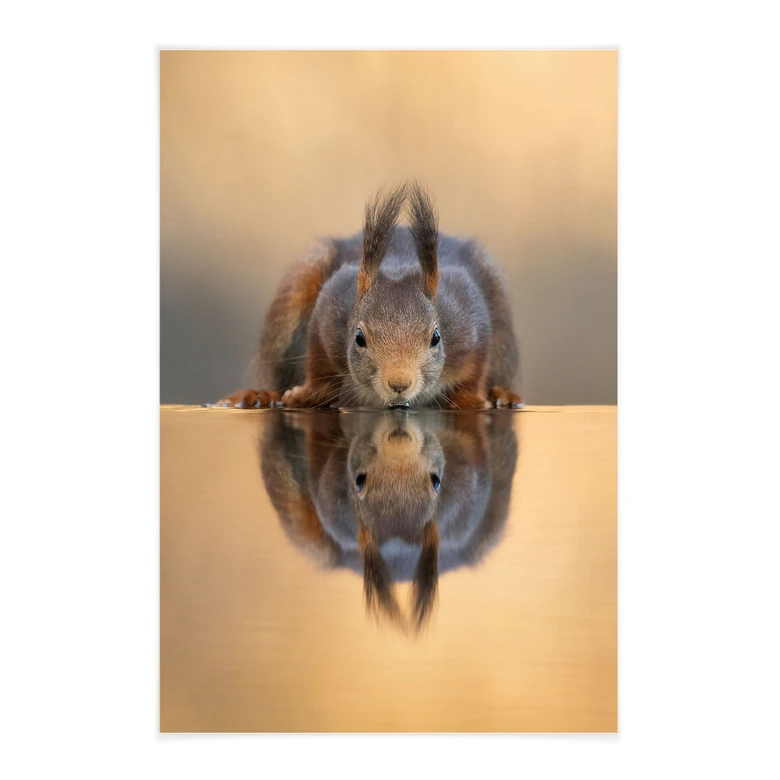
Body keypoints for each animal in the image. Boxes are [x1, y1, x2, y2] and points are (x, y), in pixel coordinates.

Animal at [217, 181, 522, 410]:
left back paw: (503, 395)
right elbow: (319, 368)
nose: (399, 384)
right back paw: (259, 396)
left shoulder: (469, 317)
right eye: (359, 338)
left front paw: (472, 400)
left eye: (436, 338)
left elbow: (475, 370)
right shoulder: (331, 309)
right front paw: (305, 395)